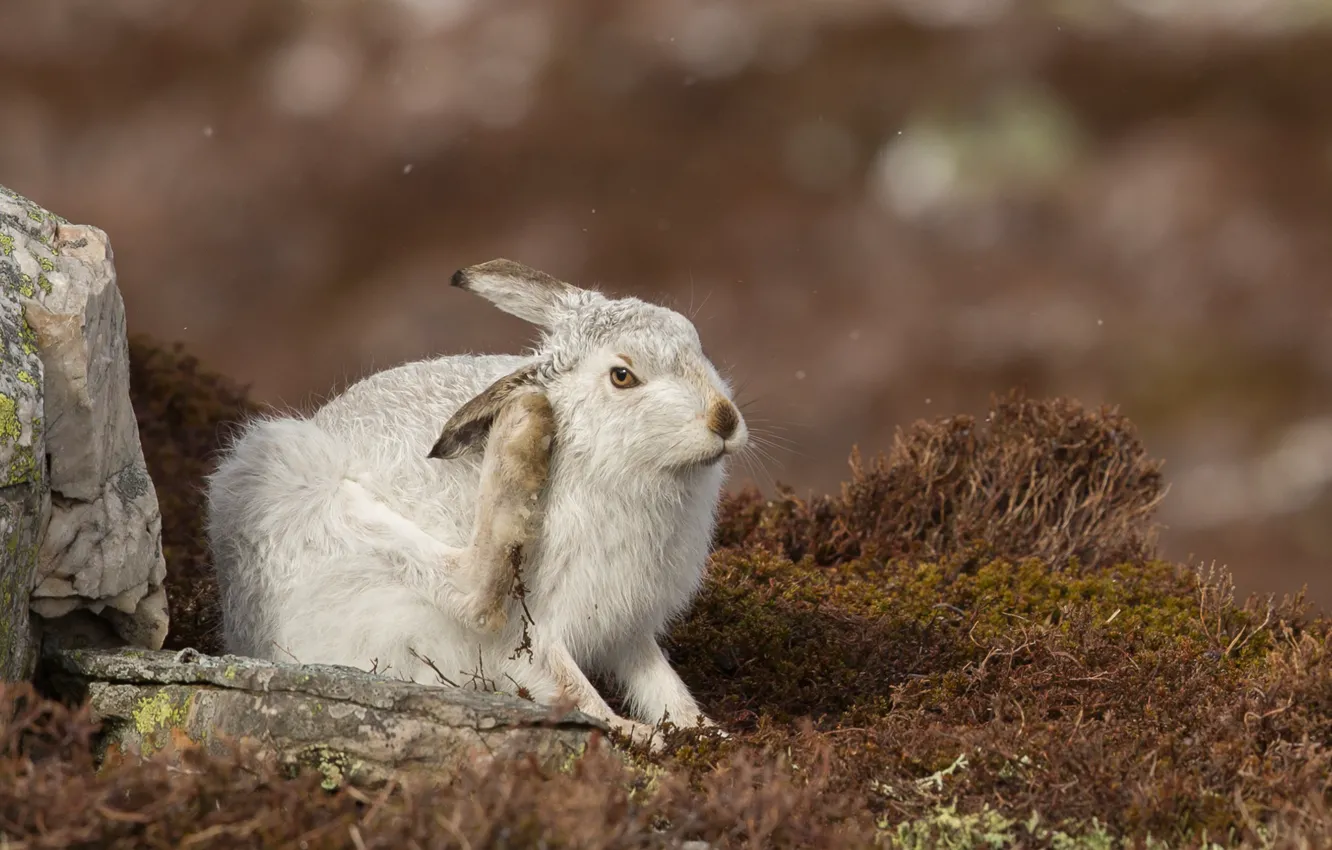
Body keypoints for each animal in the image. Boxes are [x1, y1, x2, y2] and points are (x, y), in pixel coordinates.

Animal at [205, 259, 749, 748]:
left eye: (694, 340)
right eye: (622, 376)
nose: (724, 420)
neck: (594, 451)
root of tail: (242, 633)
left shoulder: (629, 629)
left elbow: (665, 686)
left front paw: (713, 736)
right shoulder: (533, 632)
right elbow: (572, 689)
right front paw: (640, 734)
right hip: (308, 488)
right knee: (473, 590)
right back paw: (521, 428)